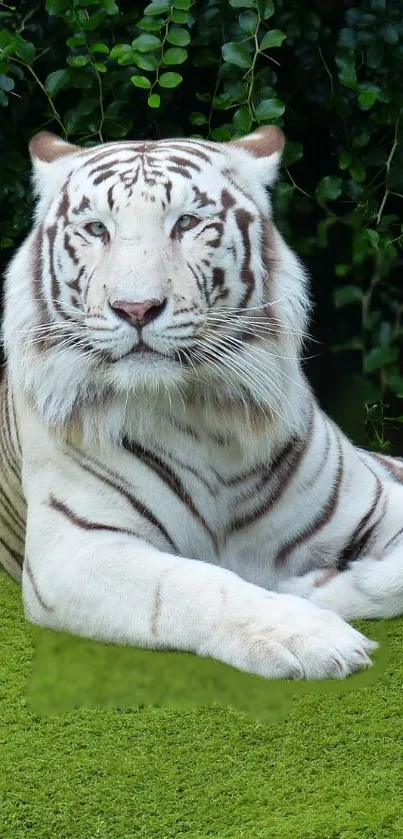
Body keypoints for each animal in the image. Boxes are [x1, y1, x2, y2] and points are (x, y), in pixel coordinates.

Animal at [0, 126, 403, 684]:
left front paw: (315, 588)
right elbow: (195, 584)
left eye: (186, 222)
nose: (136, 308)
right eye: (97, 229)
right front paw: (312, 634)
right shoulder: (76, 549)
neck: (204, 414)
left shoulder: (380, 498)